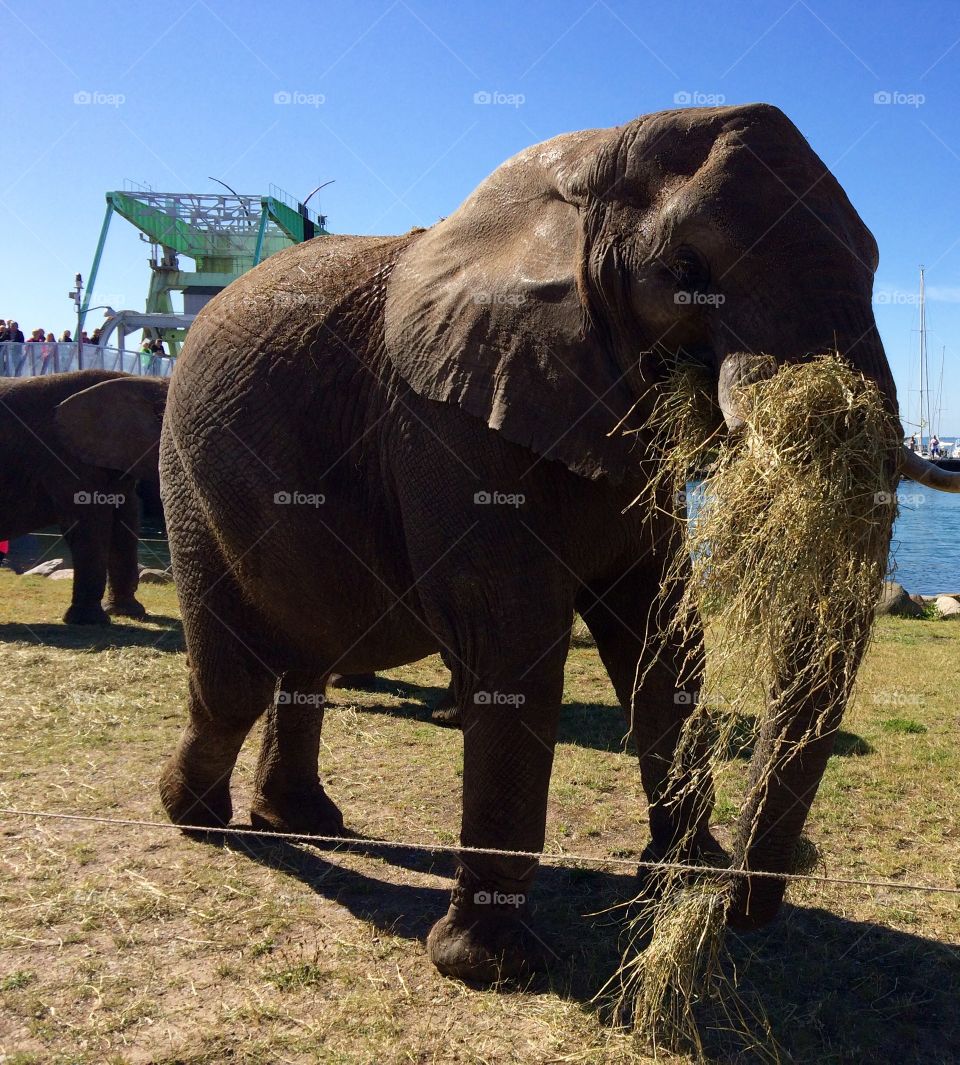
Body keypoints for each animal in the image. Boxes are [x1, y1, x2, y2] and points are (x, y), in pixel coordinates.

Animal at [157, 103, 960, 983]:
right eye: (687, 265)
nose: (737, 909)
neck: (579, 173)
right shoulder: (442, 421)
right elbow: (514, 640)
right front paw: (493, 966)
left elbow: (663, 635)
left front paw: (680, 879)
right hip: (188, 473)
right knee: (236, 676)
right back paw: (196, 817)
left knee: (306, 656)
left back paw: (302, 820)